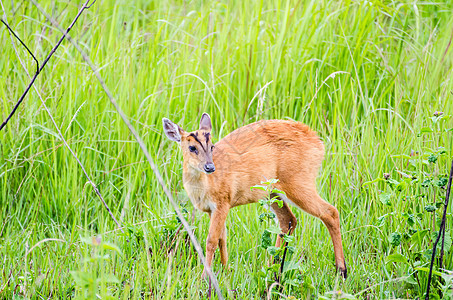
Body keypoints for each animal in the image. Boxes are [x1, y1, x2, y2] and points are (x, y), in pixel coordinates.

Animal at [162, 113, 346, 278]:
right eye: (192, 147)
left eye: (211, 146)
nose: (209, 167)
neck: (205, 186)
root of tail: (318, 141)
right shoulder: (212, 210)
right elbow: (222, 238)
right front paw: (225, 270)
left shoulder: (222, 204)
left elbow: (211, 241)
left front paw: (205, 277)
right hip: (273, 193)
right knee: (288, 220)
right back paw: (272, 268)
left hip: (298, 185)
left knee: (330, 212)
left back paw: (341, 270)